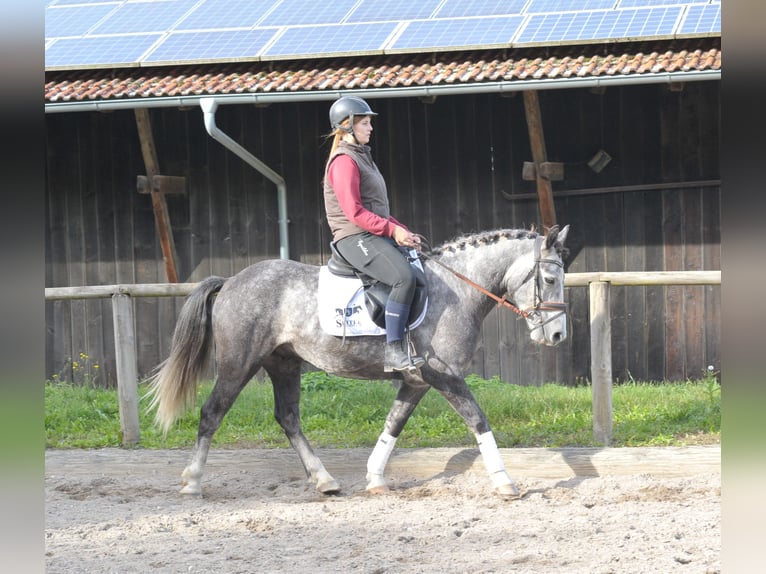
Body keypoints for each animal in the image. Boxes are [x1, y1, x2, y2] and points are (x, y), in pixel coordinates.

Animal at [148, 225, 568, 500]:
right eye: (549, 279)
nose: (557, 337)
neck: (456, 290)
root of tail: (232, 280)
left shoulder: (417, 381)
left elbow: (393, 424)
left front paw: (375, 478)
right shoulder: (445, 375)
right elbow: (479, 421)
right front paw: (505, 482)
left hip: (283, 363)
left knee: (288, 417)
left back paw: (325, 480)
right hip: (239, 364)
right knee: (212, 413)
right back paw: (192, 481)